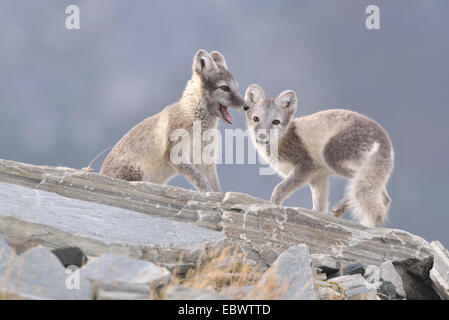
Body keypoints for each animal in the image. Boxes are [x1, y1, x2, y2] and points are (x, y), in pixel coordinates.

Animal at [100, 48, 245, 191]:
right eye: (225, 88)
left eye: (236, 87)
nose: (246, 106)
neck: (193, 118)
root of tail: (102, 172)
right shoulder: (175, 154)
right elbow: (199, 178)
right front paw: (207, 192)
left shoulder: (205, 159)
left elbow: (215, 186)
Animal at [243, 84, 394, 226]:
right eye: (256, 119)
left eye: (276, 122)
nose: (262, 136)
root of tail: (384, 138)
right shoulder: (318, 177)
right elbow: (319, 206)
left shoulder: (306, 166)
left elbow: (279, 188)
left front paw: (271, 205)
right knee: (385, 198)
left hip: (332, 156)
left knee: (367, 189)